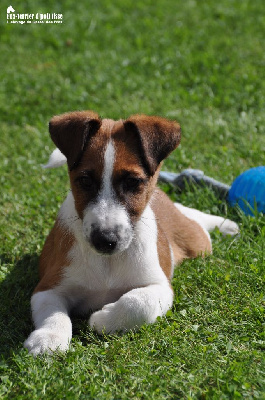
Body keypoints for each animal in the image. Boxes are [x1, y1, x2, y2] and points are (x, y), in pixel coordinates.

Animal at [23, 111, 237, 354]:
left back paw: (224, 224)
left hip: (198, 244)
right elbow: (54, 313)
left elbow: (138, 303)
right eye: (85, 181)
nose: (105, 240)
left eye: (133, 182)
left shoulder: (160, 286)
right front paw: (48, 339)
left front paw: (103, 319)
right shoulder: (48, 287)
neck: (108, 263)